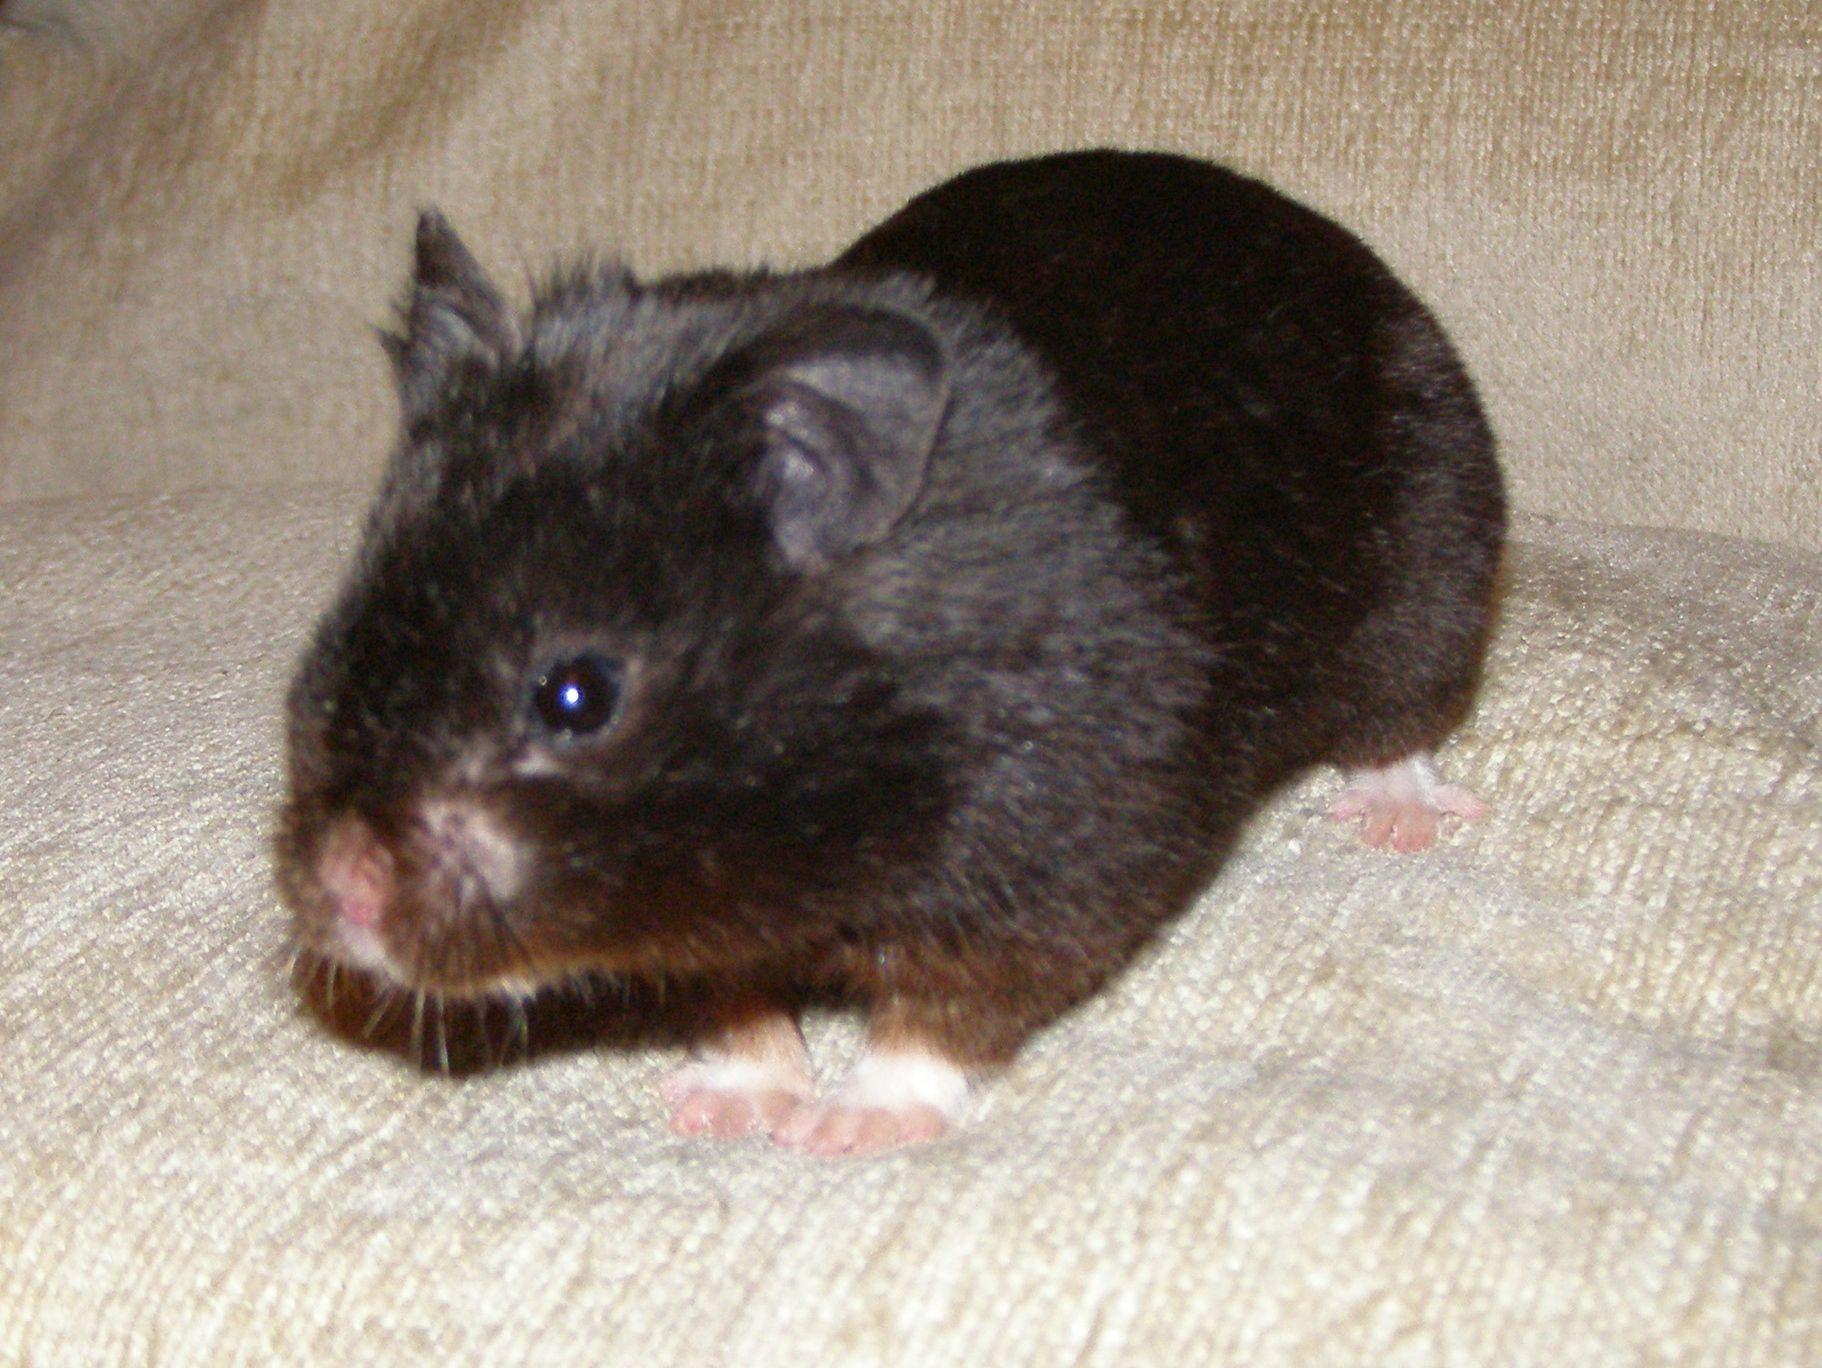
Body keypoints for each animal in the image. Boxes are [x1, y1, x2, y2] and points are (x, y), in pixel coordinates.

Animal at [276, 149, 1504, 1155]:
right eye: (332, 644)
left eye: (575, 695)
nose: (337, 893)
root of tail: (1339, 246)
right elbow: (736, 1001)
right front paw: (722, 1106)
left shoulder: (1057, 855)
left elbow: (942, 1011)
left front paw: (842, 1131)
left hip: (1429, 572)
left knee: (1403, 718)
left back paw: (1395, 817)